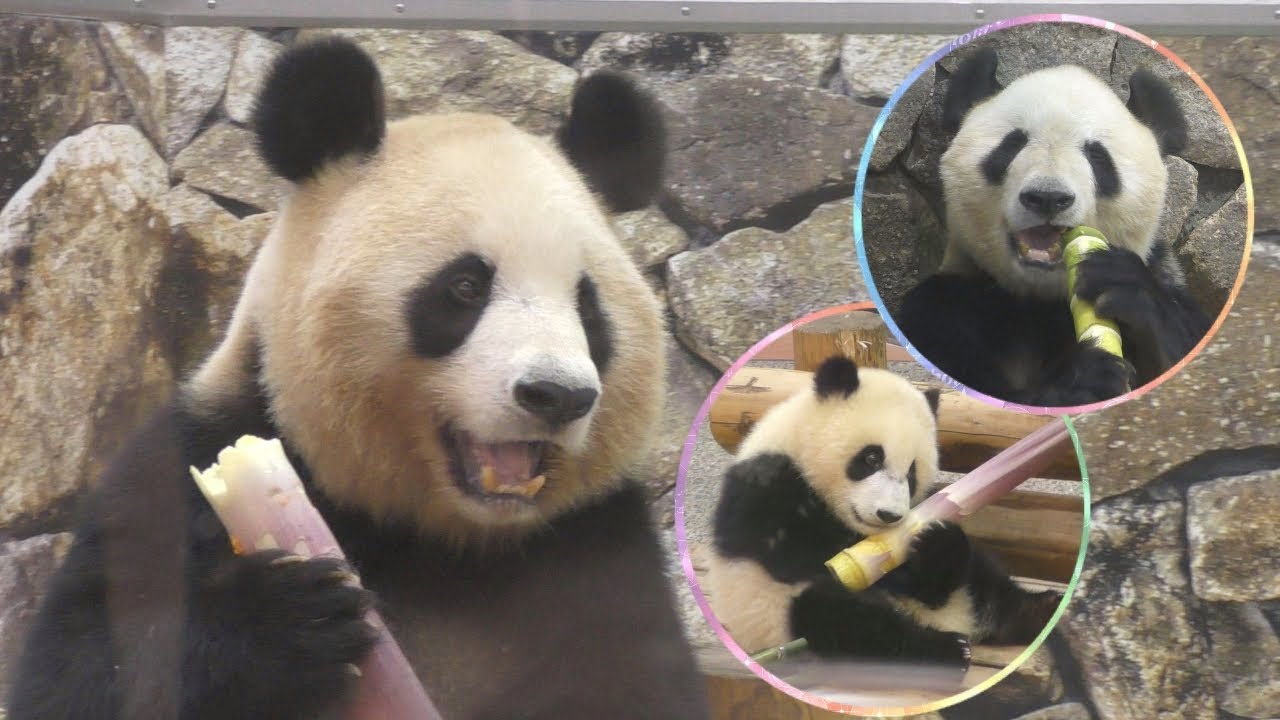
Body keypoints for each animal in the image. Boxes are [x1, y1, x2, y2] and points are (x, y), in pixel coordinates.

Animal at [9, 38, 709, 720]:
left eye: (587, 306)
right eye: (465, 287)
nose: (559, 395)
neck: (445, 535)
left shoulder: (594, 550)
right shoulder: (186, 463)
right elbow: (78, 668)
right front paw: (290, 617)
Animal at [704, 356, 1061, 668]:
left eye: (912, 472)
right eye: (872, 458)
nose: (889, 516)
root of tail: (959, 620)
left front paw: (936, 546)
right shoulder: (764, 486)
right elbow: (794, 553)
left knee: (983, 575)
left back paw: (1037, 610)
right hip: (779, 616)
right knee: (842, 622)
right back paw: (944, 650)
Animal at [896, 47, 1211, 407]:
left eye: (1097, 156)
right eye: (1012, 145)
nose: (1047, 198)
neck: (1040, 301)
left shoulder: (1166, 278)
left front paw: (1120, 283)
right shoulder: (946, 307)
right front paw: (1083, 375)